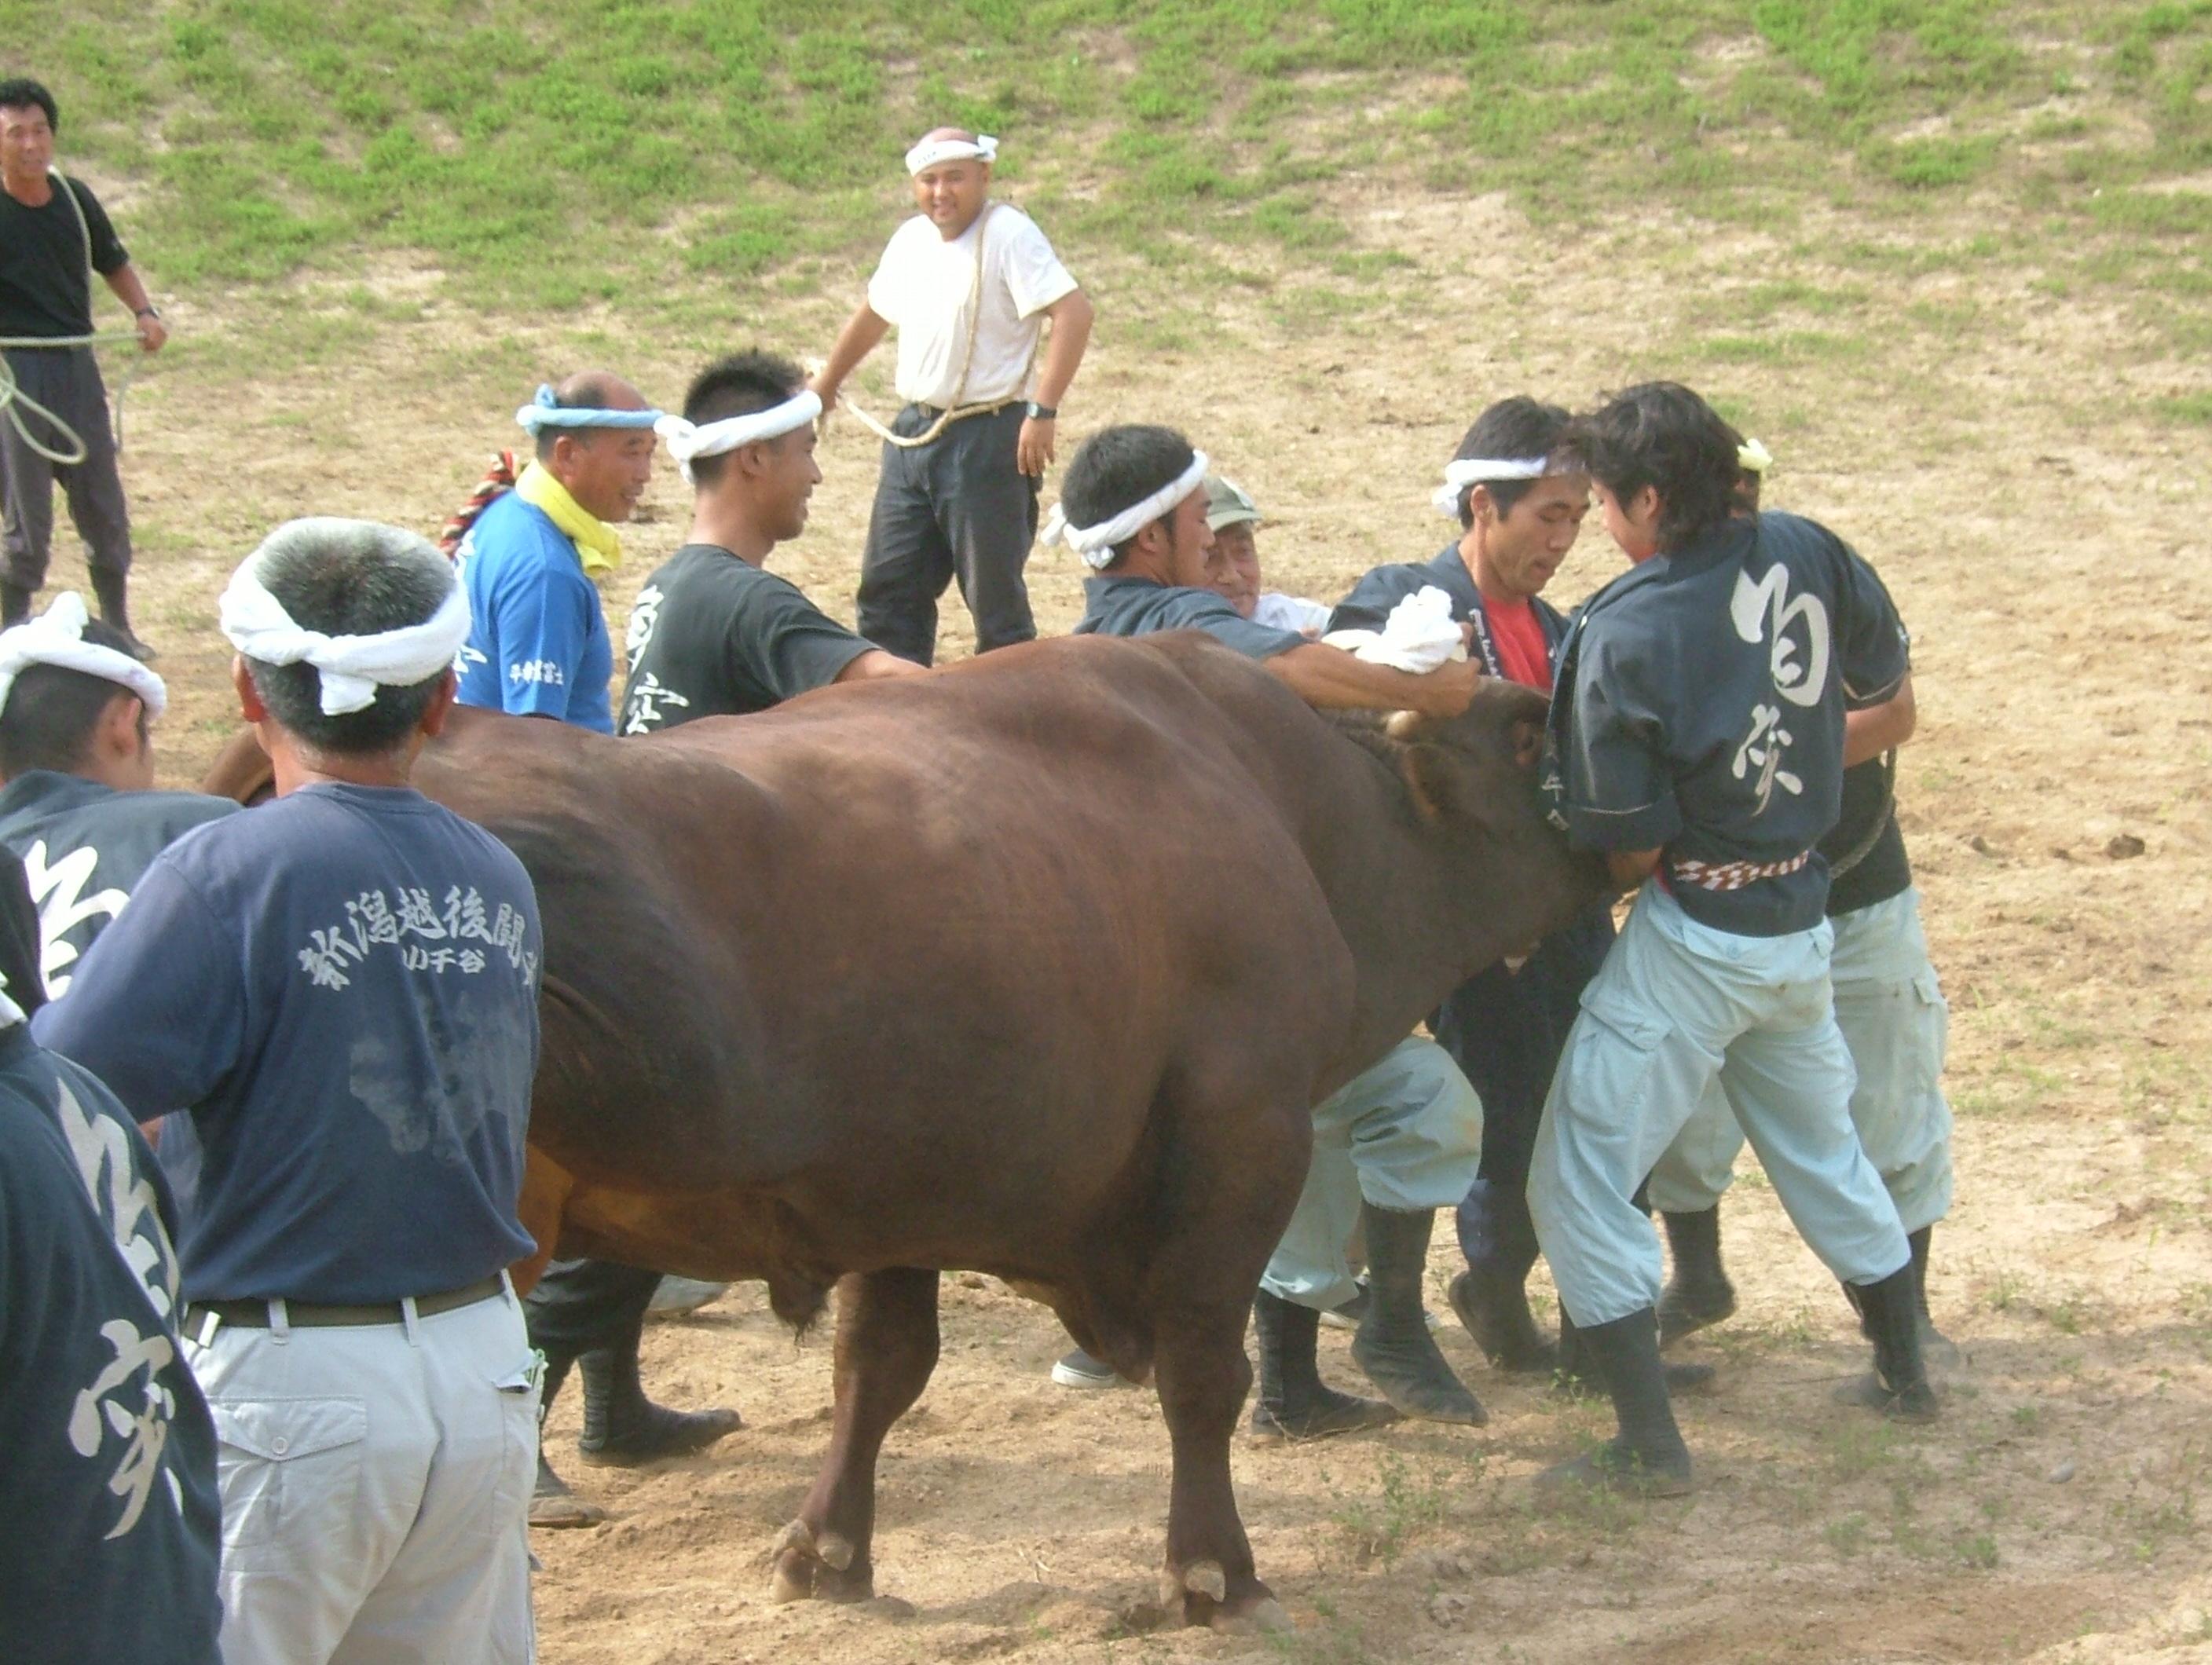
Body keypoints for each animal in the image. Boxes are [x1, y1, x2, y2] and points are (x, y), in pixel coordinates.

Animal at [203, 632, 1592, 1627]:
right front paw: (1213, 1572)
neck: (1275, 799)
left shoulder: (907, 1185)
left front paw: (830, 1548)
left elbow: (877, 1371)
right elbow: (1207, 1372)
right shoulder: (1241, 1138)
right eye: (1533, 729)